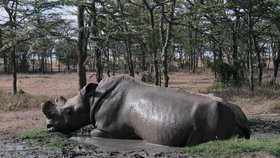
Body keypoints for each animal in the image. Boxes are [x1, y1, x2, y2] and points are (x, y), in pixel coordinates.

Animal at [42, 76, 252, 146]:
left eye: (69, 112)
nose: (48, 126)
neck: (91, 98)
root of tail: (240, 117)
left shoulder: (108, 129)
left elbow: (93, 132)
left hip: (213, 118)